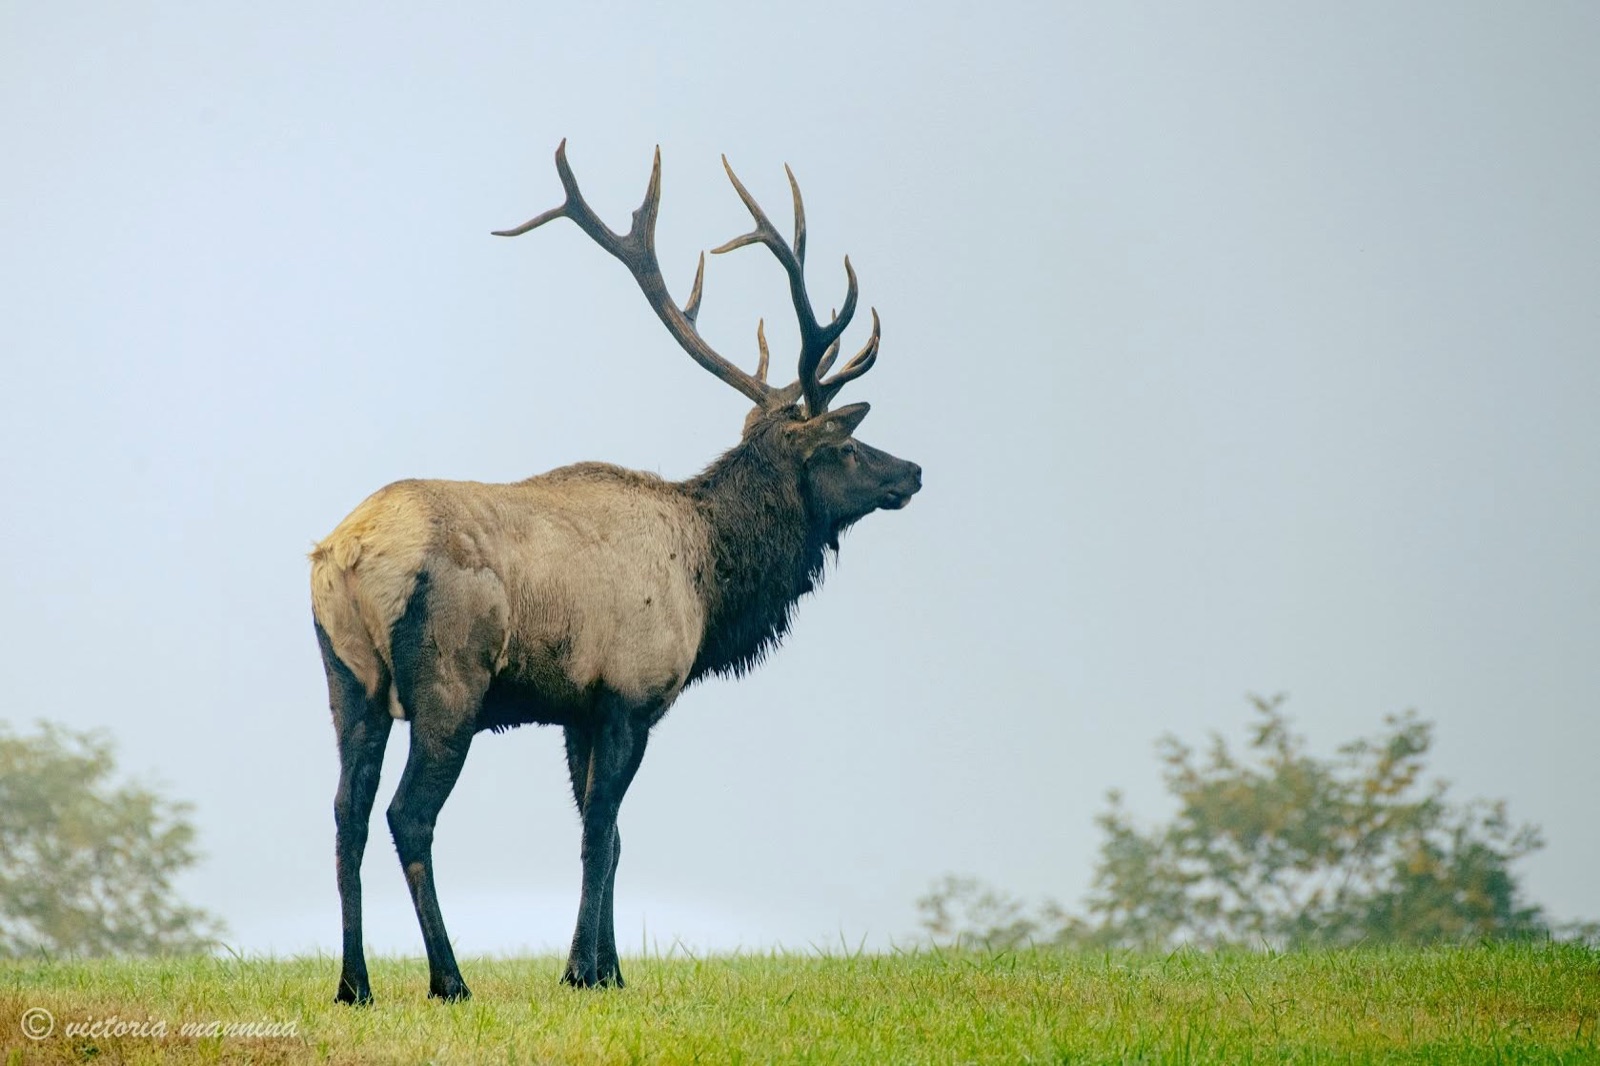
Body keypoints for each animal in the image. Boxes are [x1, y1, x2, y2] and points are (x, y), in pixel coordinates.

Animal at [309, 140, 922, 1003]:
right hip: (449, 682)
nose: (913, 471)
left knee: (346, 815)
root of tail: (349, 553)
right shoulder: (631, 694)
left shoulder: (577, 711)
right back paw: (449, 979)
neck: (711, 583)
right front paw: (583, 971)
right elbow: (604, 830)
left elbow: (611, 833)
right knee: (408, 815)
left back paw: (354, 984)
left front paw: (611, 967)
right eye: (846, 447)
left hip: (348, 682)